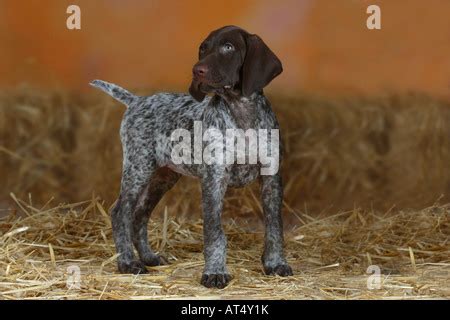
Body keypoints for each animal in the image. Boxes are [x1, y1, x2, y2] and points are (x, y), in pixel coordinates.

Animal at [90, 26, 294, 288]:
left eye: (228, 47)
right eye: (203, 48)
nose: (197, 70)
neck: (241, 112)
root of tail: (137, 101)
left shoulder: (271, 177)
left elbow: (274, 226)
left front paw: (275, 264)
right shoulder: (214, 179)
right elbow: (215, 233)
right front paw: (215, 272)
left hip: (163, 177)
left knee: (139, 215)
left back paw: (148, 257)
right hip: (139, 167)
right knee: (120, 213)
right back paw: (128, 263)